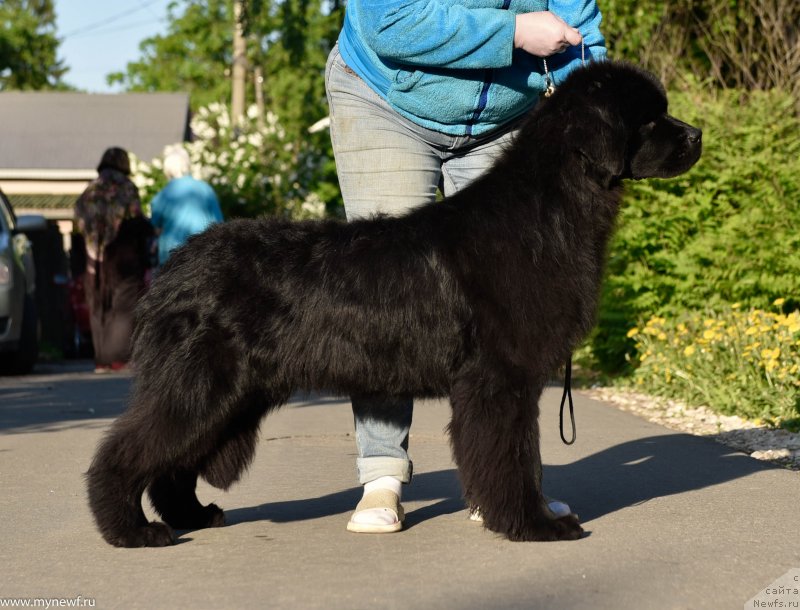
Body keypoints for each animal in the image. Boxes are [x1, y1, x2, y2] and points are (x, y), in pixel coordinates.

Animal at [86, 61, 700, 548]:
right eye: (650, 119)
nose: (697, 134)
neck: (549, 210)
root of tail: (174, 267)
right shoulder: (501, 378)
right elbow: (515, 457)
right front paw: (533, 525)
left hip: (233, 395)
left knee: (173, 465)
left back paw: (192, 515)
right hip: (202, 385)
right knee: (126, 453)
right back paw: (130, 530)